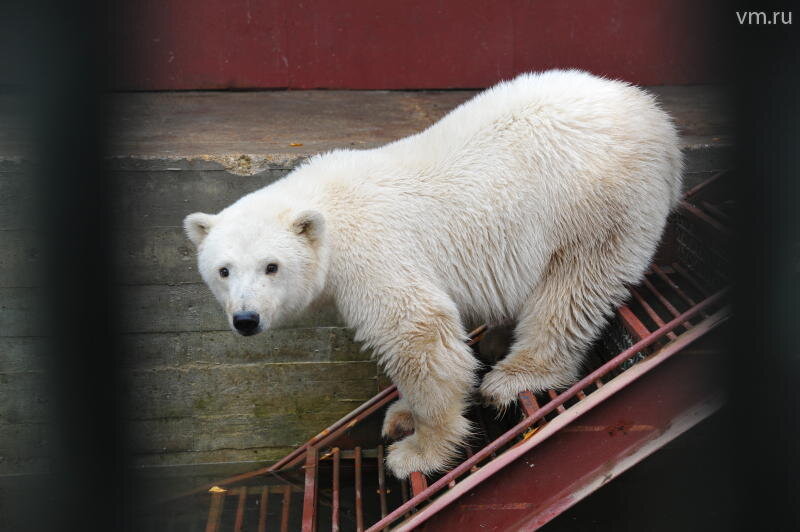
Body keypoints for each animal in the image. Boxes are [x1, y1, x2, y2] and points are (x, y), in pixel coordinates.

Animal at [183, 70, 680, 478]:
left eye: (272, 266)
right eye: (223, 270)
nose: (246, 319)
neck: (329, 206)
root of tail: (657, 119)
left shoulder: (374, 254)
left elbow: (418, 333)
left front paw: (417, 451)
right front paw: (400, 415)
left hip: (593, 202)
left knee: (572, 288)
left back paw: (516, 375)